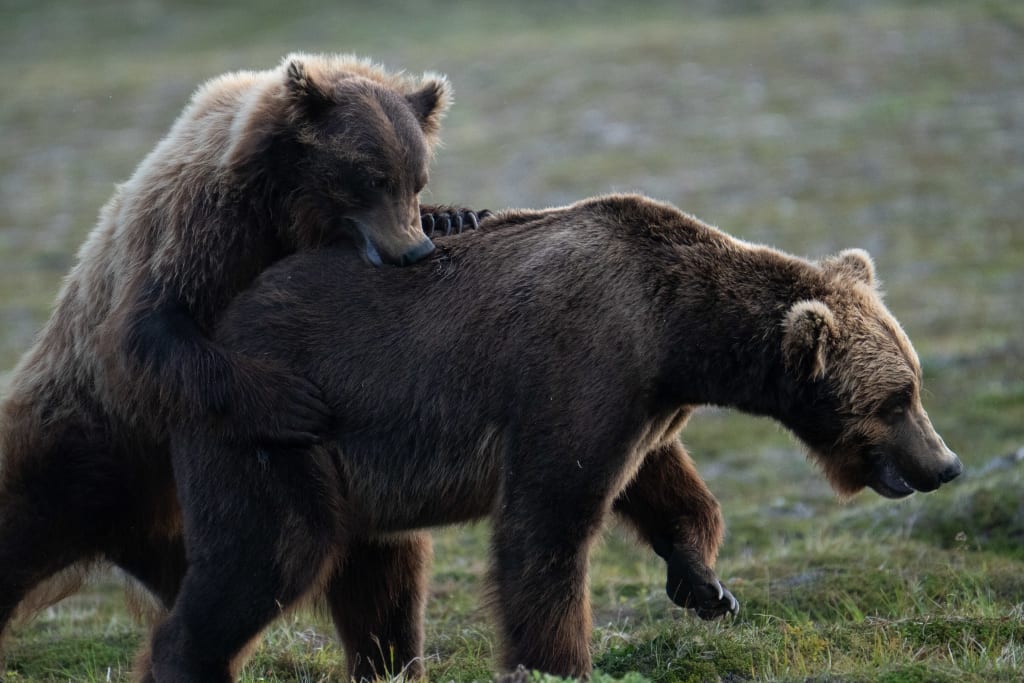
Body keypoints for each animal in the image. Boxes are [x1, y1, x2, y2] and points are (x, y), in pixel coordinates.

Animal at [0, 52, 487, 660]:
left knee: (382, 568)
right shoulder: (204, 227)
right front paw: (292, 401)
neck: (286, 203)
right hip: (80, 443)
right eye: (372, 177)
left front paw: (457, 216)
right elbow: (150, 328)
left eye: (416, 179)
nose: (412, 249)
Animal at [135, 193, 962, 681]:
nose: (945, 463)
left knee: (383, 576)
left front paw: (705, 585)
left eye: (914, 383)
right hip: (275, 427)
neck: (676, 333)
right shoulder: (577, 366)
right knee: (266, 554)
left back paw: (393, 662)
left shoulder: (642, 403)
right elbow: (547, 529)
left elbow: (664, 484)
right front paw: (558, 659)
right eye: (898, 396)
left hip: (356, 472)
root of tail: (211, 326)